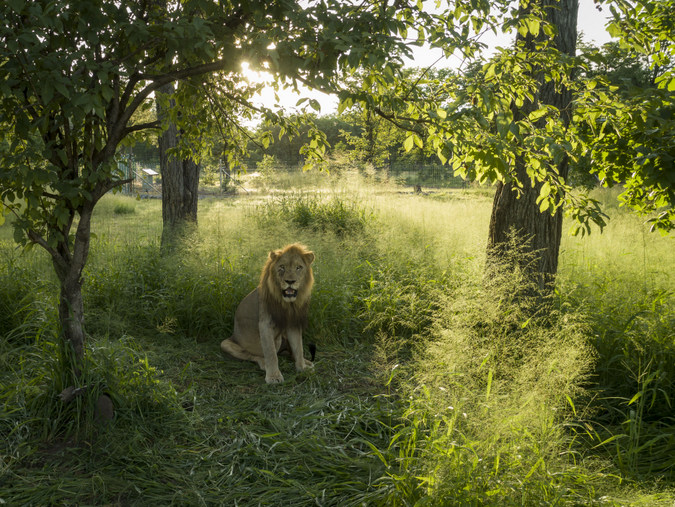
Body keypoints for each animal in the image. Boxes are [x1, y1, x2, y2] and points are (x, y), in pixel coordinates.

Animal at [222, 244, 316, 382]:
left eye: (298, 267)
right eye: (282, 267)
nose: (290, 281)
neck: (287, 304)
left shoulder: (293, 323)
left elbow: (298, 347)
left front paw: (302, 367)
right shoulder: (265, 324)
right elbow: (271, 353)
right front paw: (273, 376)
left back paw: (307, 362)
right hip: (226, 344)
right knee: (255, 356)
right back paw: (264, 364)